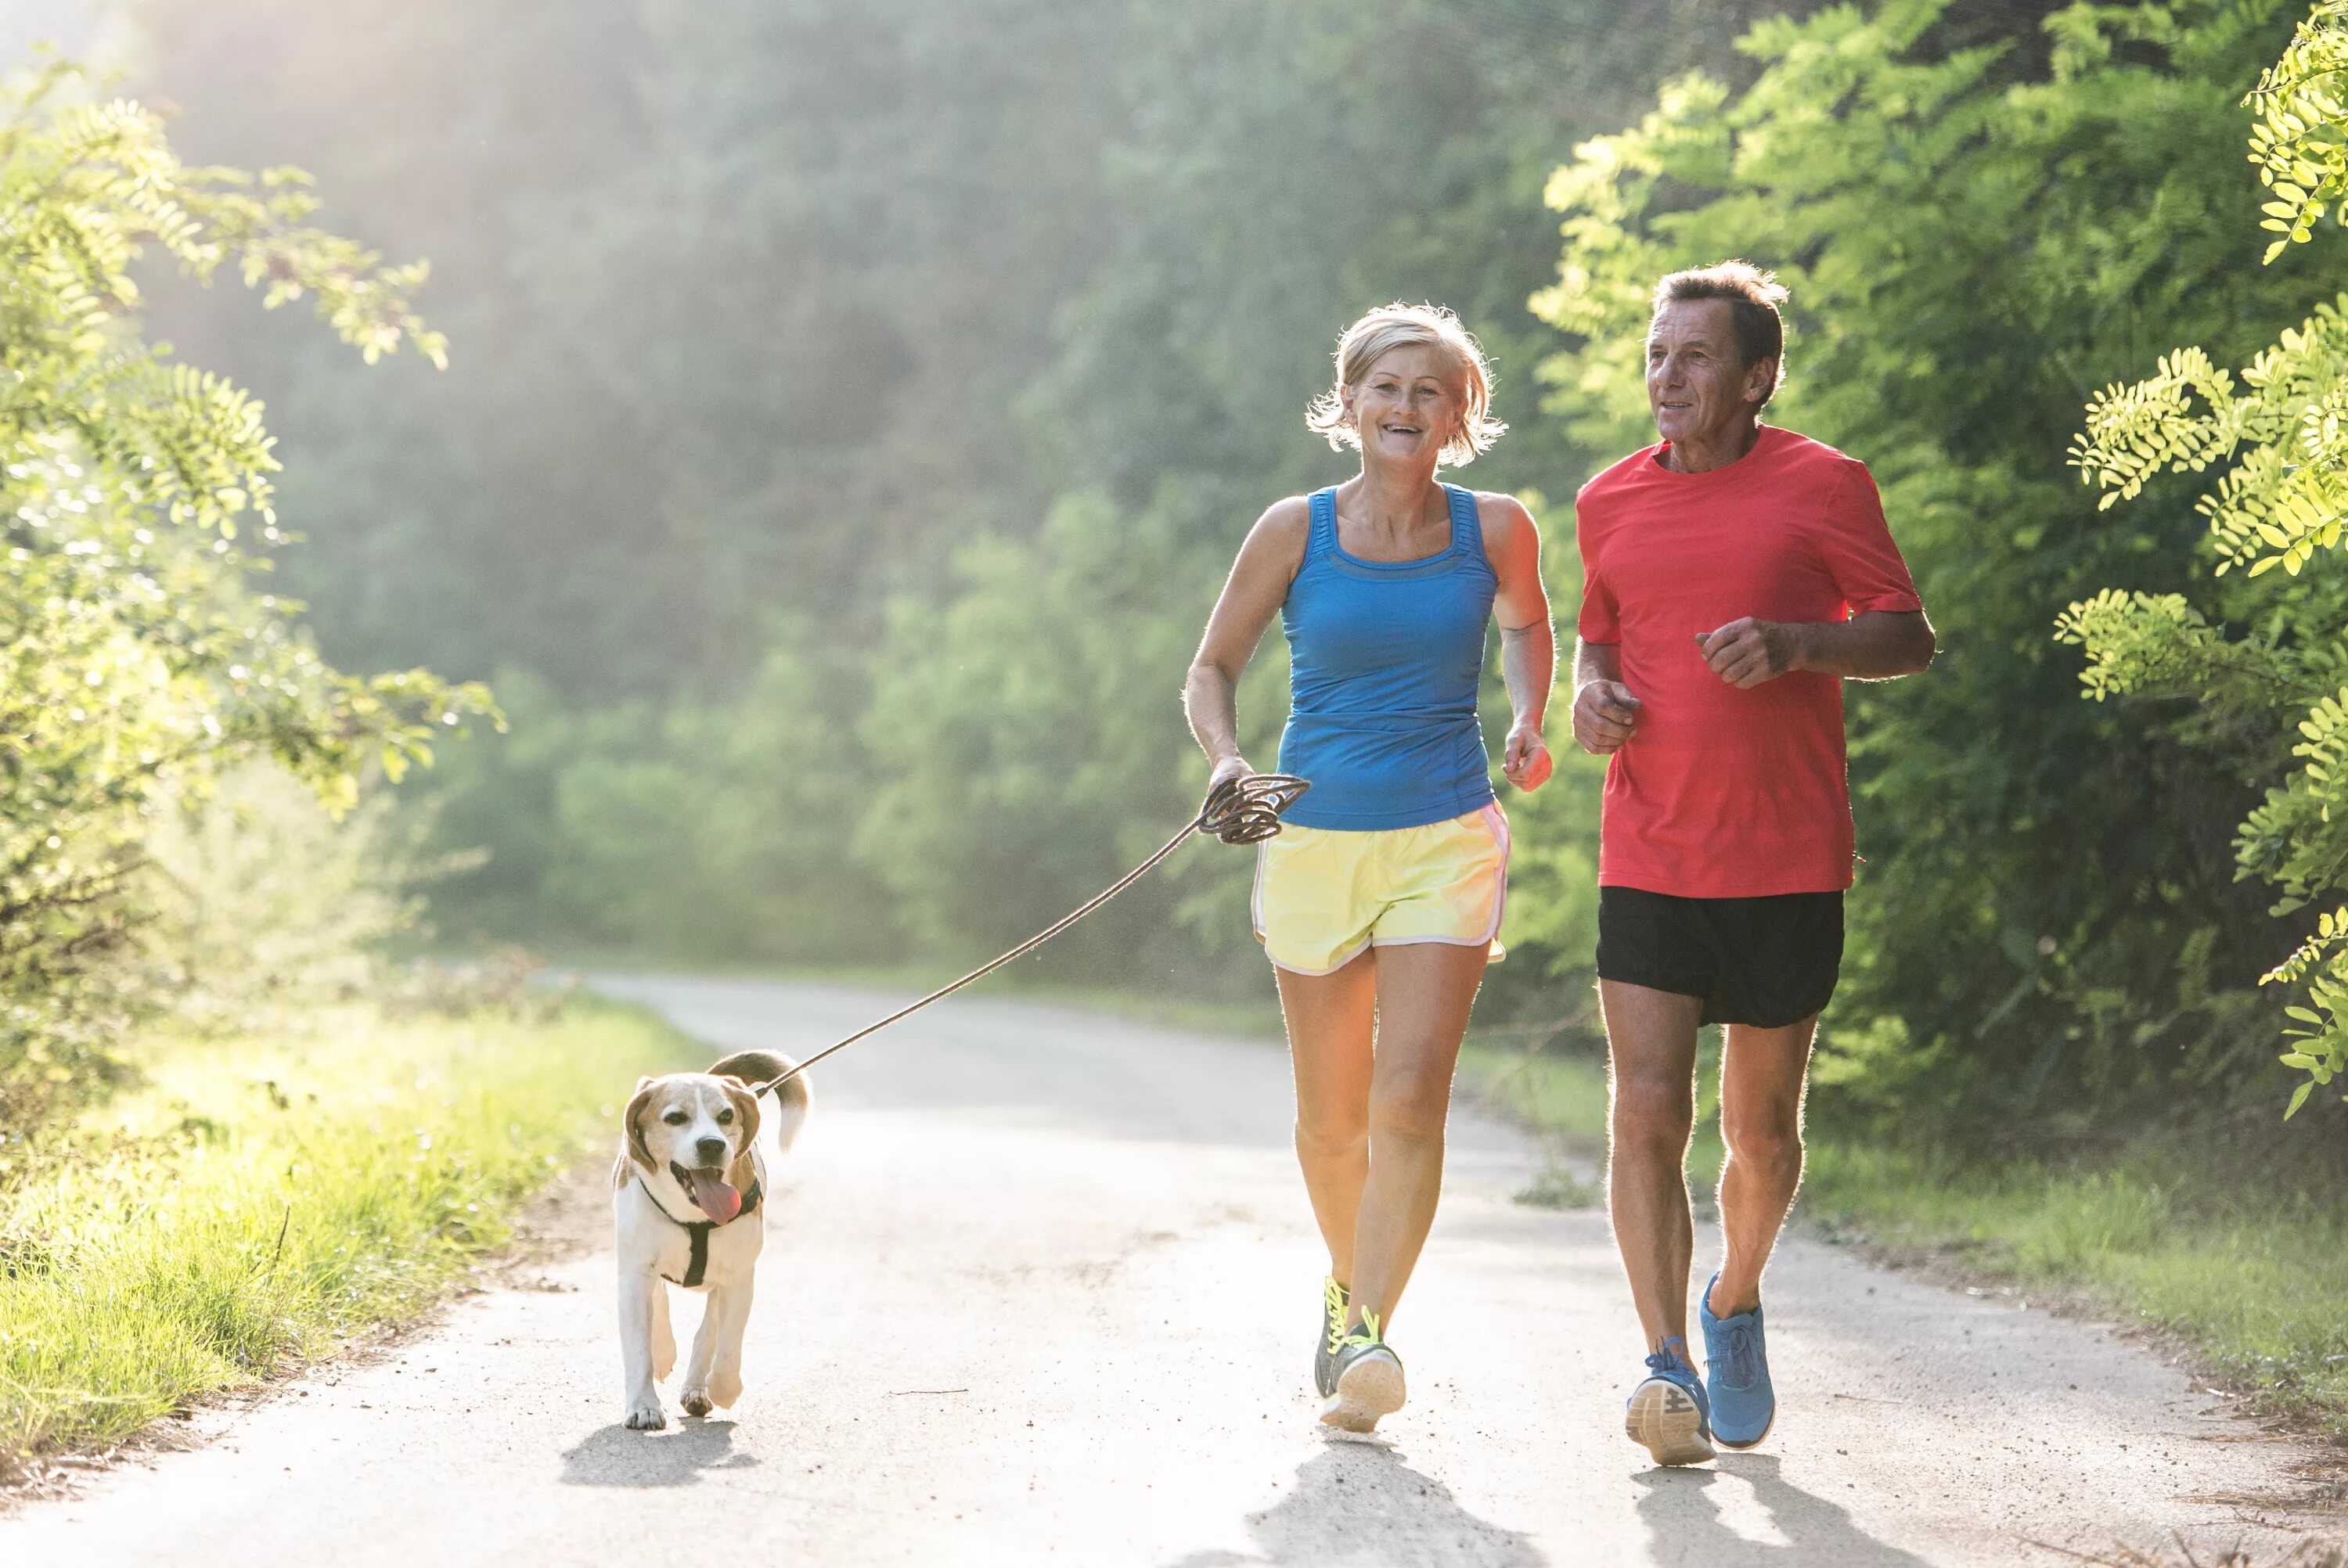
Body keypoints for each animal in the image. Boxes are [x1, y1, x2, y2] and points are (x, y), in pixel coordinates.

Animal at [615, 1047, 808, 1427]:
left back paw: (697, 1387)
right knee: (659, 1300)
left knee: (710, 1329)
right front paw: (644, 1405)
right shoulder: (632, 1275)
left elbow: (728, 1343)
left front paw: (722, 1388)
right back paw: (664, 1353)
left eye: (726, 1115)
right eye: (675, 1118)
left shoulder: (739, 1278)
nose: (712, 1145)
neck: (693, 1215)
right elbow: (639, 1347)